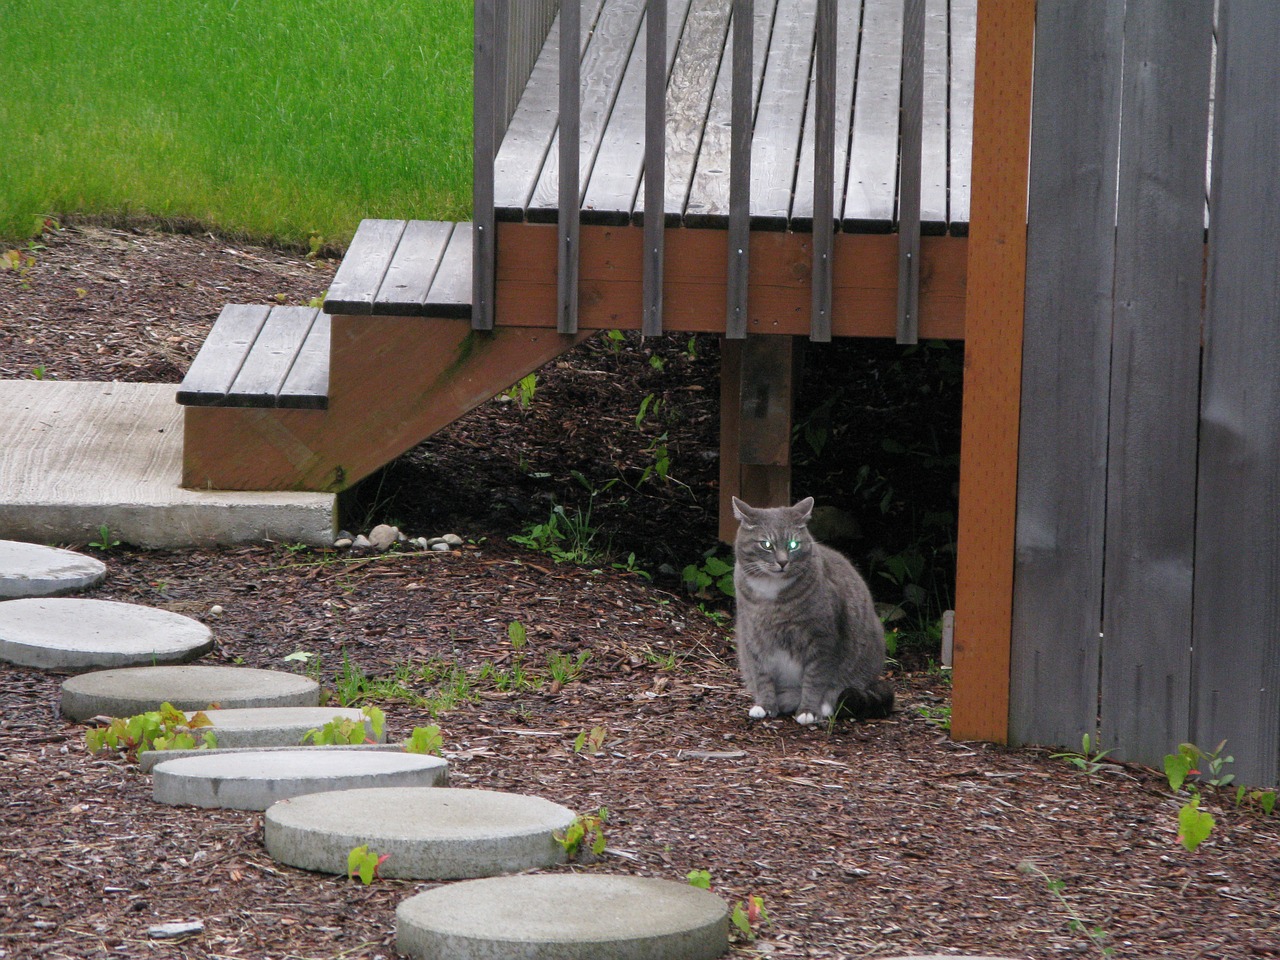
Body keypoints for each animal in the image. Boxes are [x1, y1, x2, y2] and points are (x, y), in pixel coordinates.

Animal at [737, 499, 896, 727]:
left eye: (793, 544)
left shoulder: (822, 639)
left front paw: (808, 711)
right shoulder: (753, 637)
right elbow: (762, 675)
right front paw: (765, 706)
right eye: (766, 544)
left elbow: (815, 678)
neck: (771, 595)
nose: (783, 562)